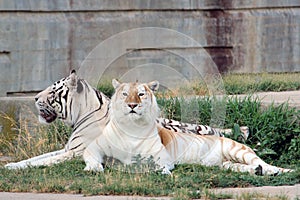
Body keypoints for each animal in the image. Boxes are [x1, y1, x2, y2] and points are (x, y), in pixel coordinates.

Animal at [83, 79, 294, 175]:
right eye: (125, 94)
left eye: (141, 94)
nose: (132, 105)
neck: (132, 128)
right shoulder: (93, 147)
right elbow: (91, 157)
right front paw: (93, 168)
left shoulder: (162, 155)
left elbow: (155, 163)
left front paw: (160, 171)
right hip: (226, 164)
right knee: (246, 166)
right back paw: (257, 171)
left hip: (238, 150)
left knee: (263, 162)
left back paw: (276, 171)